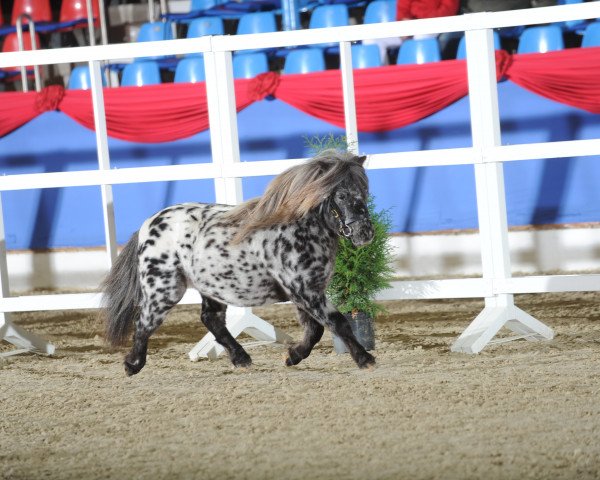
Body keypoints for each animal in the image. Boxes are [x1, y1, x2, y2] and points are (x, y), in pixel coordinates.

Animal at [102, 150, 376, 376]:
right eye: (341, 195)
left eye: (364, 192)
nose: (365, 233)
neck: (296, 230)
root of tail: (148, 224)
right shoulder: (304, 292)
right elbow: (338, 322)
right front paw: (365, 359)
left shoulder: (306, 292)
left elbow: (316, 330)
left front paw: (292, 356)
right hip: (165, 289)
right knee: (145, 322)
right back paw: (132, 365)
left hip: (209, 287)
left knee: (210, 319)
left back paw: (241, 358)